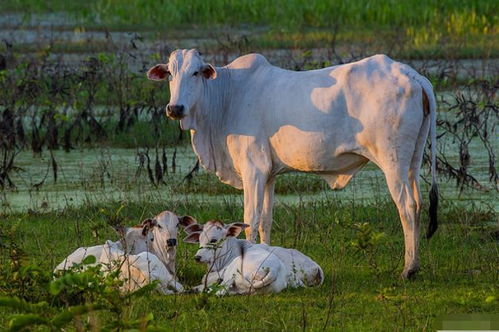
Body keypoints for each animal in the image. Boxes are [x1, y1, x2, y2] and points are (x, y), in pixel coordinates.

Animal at [147, 49, 438, 278]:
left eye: (196, 72)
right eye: (170, 73)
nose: (175, 108)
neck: (226, 98)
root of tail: (412, 75)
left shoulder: (253, 170)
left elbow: (250, 218)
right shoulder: (269, 174)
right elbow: (265, 219)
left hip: (393, 162)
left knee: (406, 207)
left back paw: (408, 269)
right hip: (413, 161)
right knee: (418, 203)